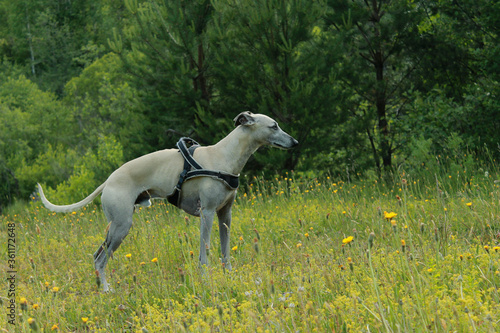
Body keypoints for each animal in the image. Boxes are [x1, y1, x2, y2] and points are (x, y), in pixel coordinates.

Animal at [39, 111, 298, 290]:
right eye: (274, 125)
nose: (295, 142)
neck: (224, 157)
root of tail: (108, 180)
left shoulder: (225, 214)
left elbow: (225, 251)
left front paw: (229, 276)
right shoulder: (207, 213)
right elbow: (205, 251)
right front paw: (205, 279)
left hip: (117, 227)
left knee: (97, 256)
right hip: (121, 226)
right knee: (100, 259)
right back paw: (106, 290)